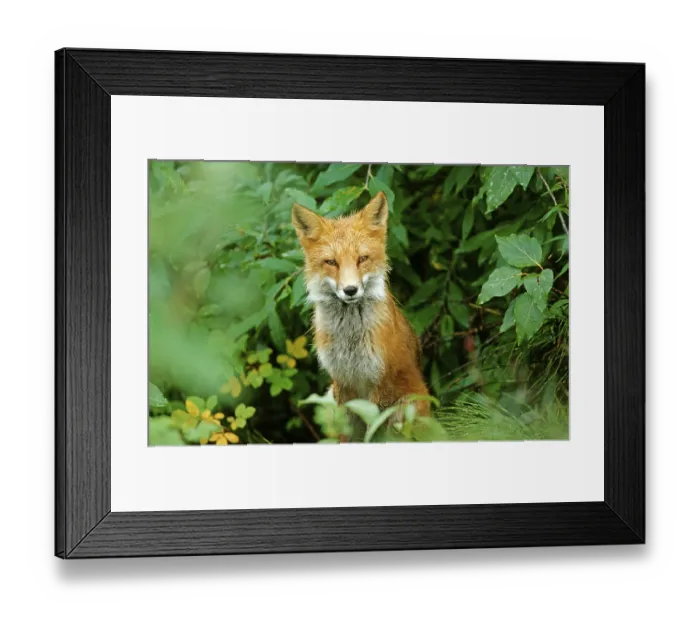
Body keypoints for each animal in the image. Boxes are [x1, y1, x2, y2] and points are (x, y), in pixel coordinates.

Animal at [291, 191, 431, 427]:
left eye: (362, 259)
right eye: (331, 262)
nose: (350, 290)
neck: (351, 340)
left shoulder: (381, 381)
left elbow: (373, 427)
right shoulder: (342, 381)